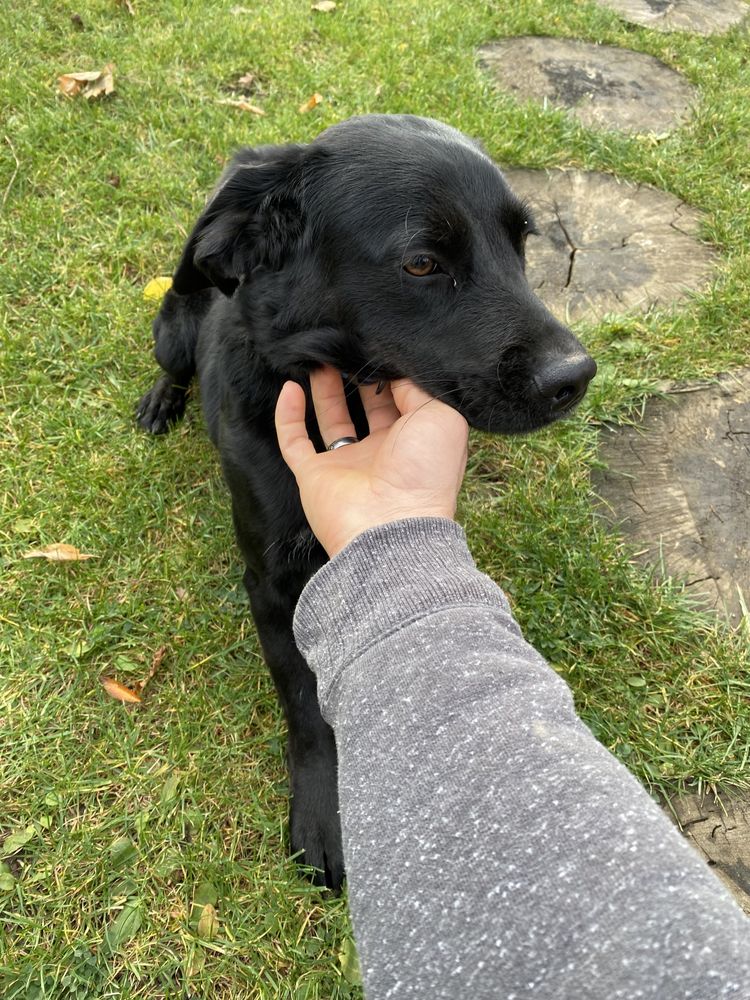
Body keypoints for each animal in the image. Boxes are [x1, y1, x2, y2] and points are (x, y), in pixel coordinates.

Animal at [134, 115, 592, 892]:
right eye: (421, 264)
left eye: (522, 243)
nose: (577, 376)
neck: (341, 392)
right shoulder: (272, 580)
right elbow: (305, 702)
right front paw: (326, 809)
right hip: (173, 326)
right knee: (172, 364)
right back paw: (160, 401)